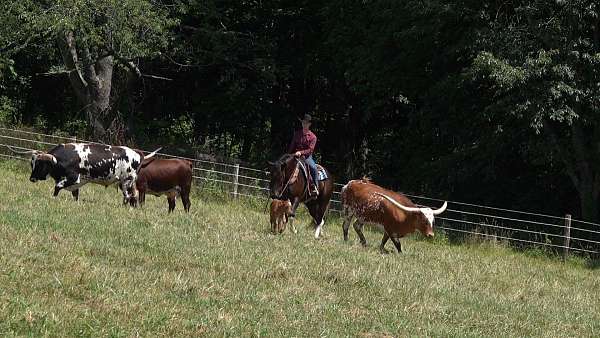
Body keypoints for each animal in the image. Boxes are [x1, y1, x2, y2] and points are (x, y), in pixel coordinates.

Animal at [9, 143, 159, 201]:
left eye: (40, 164)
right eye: (32, 163)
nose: (32, 179)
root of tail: (137, 153)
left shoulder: (73, 178)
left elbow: (57, 187)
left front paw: (54, 199)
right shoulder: (76, 184)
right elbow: (75, 195)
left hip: (126, 181)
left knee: (128, 196)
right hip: (126, 183)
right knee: (132, 195)